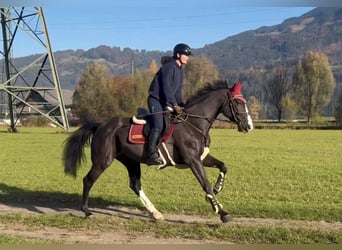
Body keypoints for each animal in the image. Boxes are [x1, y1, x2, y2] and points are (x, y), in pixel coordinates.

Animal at [62, 80, 252, 223]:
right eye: (238, 102)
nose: (249, 126)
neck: (193, 123)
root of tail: (101, 126)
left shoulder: (201, 158)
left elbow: (223, 166)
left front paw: (217, 189)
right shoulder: (193, 160)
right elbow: (205, 184)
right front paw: (222, 212)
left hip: (131, 161)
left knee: (135, 184)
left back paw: (155, 213)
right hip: (103, 161)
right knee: (88, 180)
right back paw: (86, 211)